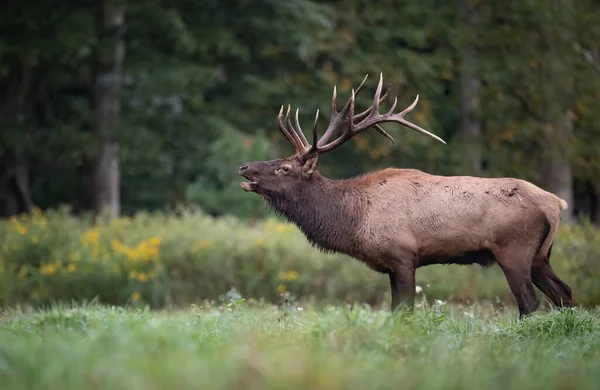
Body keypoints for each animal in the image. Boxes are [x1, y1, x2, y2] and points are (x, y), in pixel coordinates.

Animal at [238, 74, 572, 320]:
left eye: (284, 167)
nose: (244, 166)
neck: (355, 220)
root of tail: (556, 204)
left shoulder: (403, 255)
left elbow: (405, 310)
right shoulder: (389, 264)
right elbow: (395, 310)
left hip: (514, 250)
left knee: (529, 302)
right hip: (541, 255)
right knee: (564, 293)